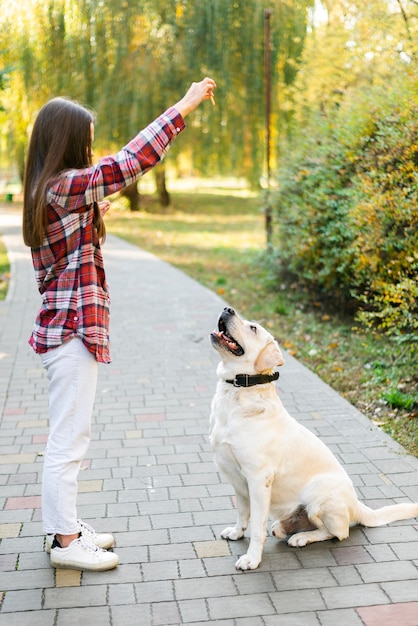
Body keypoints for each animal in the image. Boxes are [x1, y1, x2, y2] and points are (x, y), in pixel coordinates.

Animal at [211, 304, 418, 568]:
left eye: (253, 327)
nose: (227, 308)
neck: (239, 391)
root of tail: (358, 506)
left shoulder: (258, 480)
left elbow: (257, 525)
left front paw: (252, 558)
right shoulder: (237, 480)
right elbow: (242, 512)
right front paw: (237, 532)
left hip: (320, 496)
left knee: (339, 532)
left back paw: (302, 537)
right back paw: (286, 528)